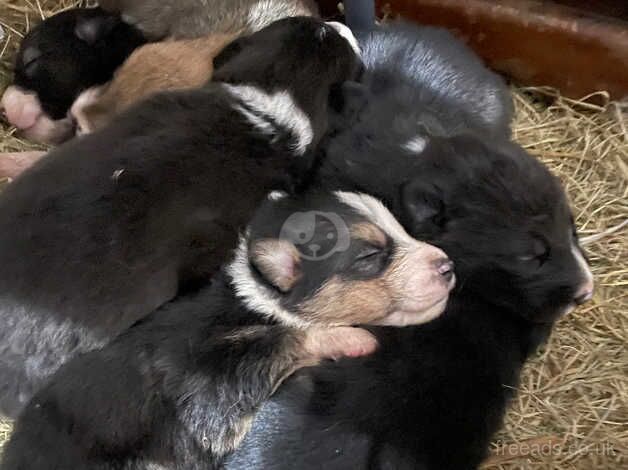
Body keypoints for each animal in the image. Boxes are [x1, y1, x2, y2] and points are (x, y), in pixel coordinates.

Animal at [0, 192, 456, 470]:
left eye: (400, 227)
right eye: (369, 255)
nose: (448, 265)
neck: (257, 298)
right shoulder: (206, 377)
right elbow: (282, 340)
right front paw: (353, 339)